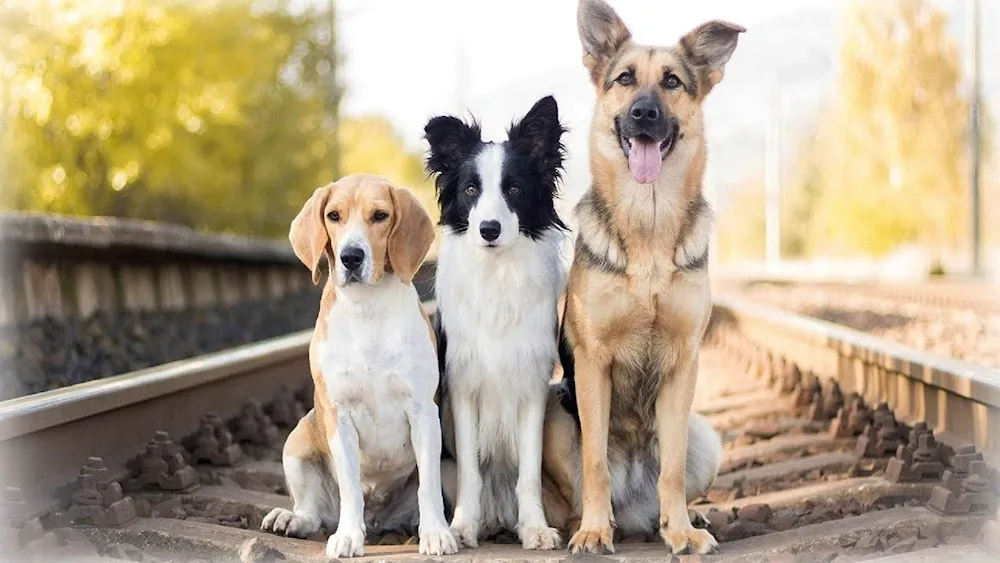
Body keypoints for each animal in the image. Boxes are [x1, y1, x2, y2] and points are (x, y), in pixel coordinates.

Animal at [260, 173, 458, 560]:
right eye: (333, 216)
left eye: (380, 215)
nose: (351, 256)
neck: (368, 310)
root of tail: (380, 519)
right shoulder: (340, 417)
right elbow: (351, 488)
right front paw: (349, 537)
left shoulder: (423, 413)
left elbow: (427, 487)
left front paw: (436, 535)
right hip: (297, 440)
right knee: (313, 513)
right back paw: (291, 519)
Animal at [544, 0, 748, 556]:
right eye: (625, 79)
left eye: (672, 81)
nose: (643, 113)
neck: (649, 220)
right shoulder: (593, 363)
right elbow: (594, 462)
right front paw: (595, 531)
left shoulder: (683, 363)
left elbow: (671, 469)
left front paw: (680, 532)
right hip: (553, 415)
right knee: (579, 491)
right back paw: (589, 523)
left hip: (707, 436)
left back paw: (678, 519)